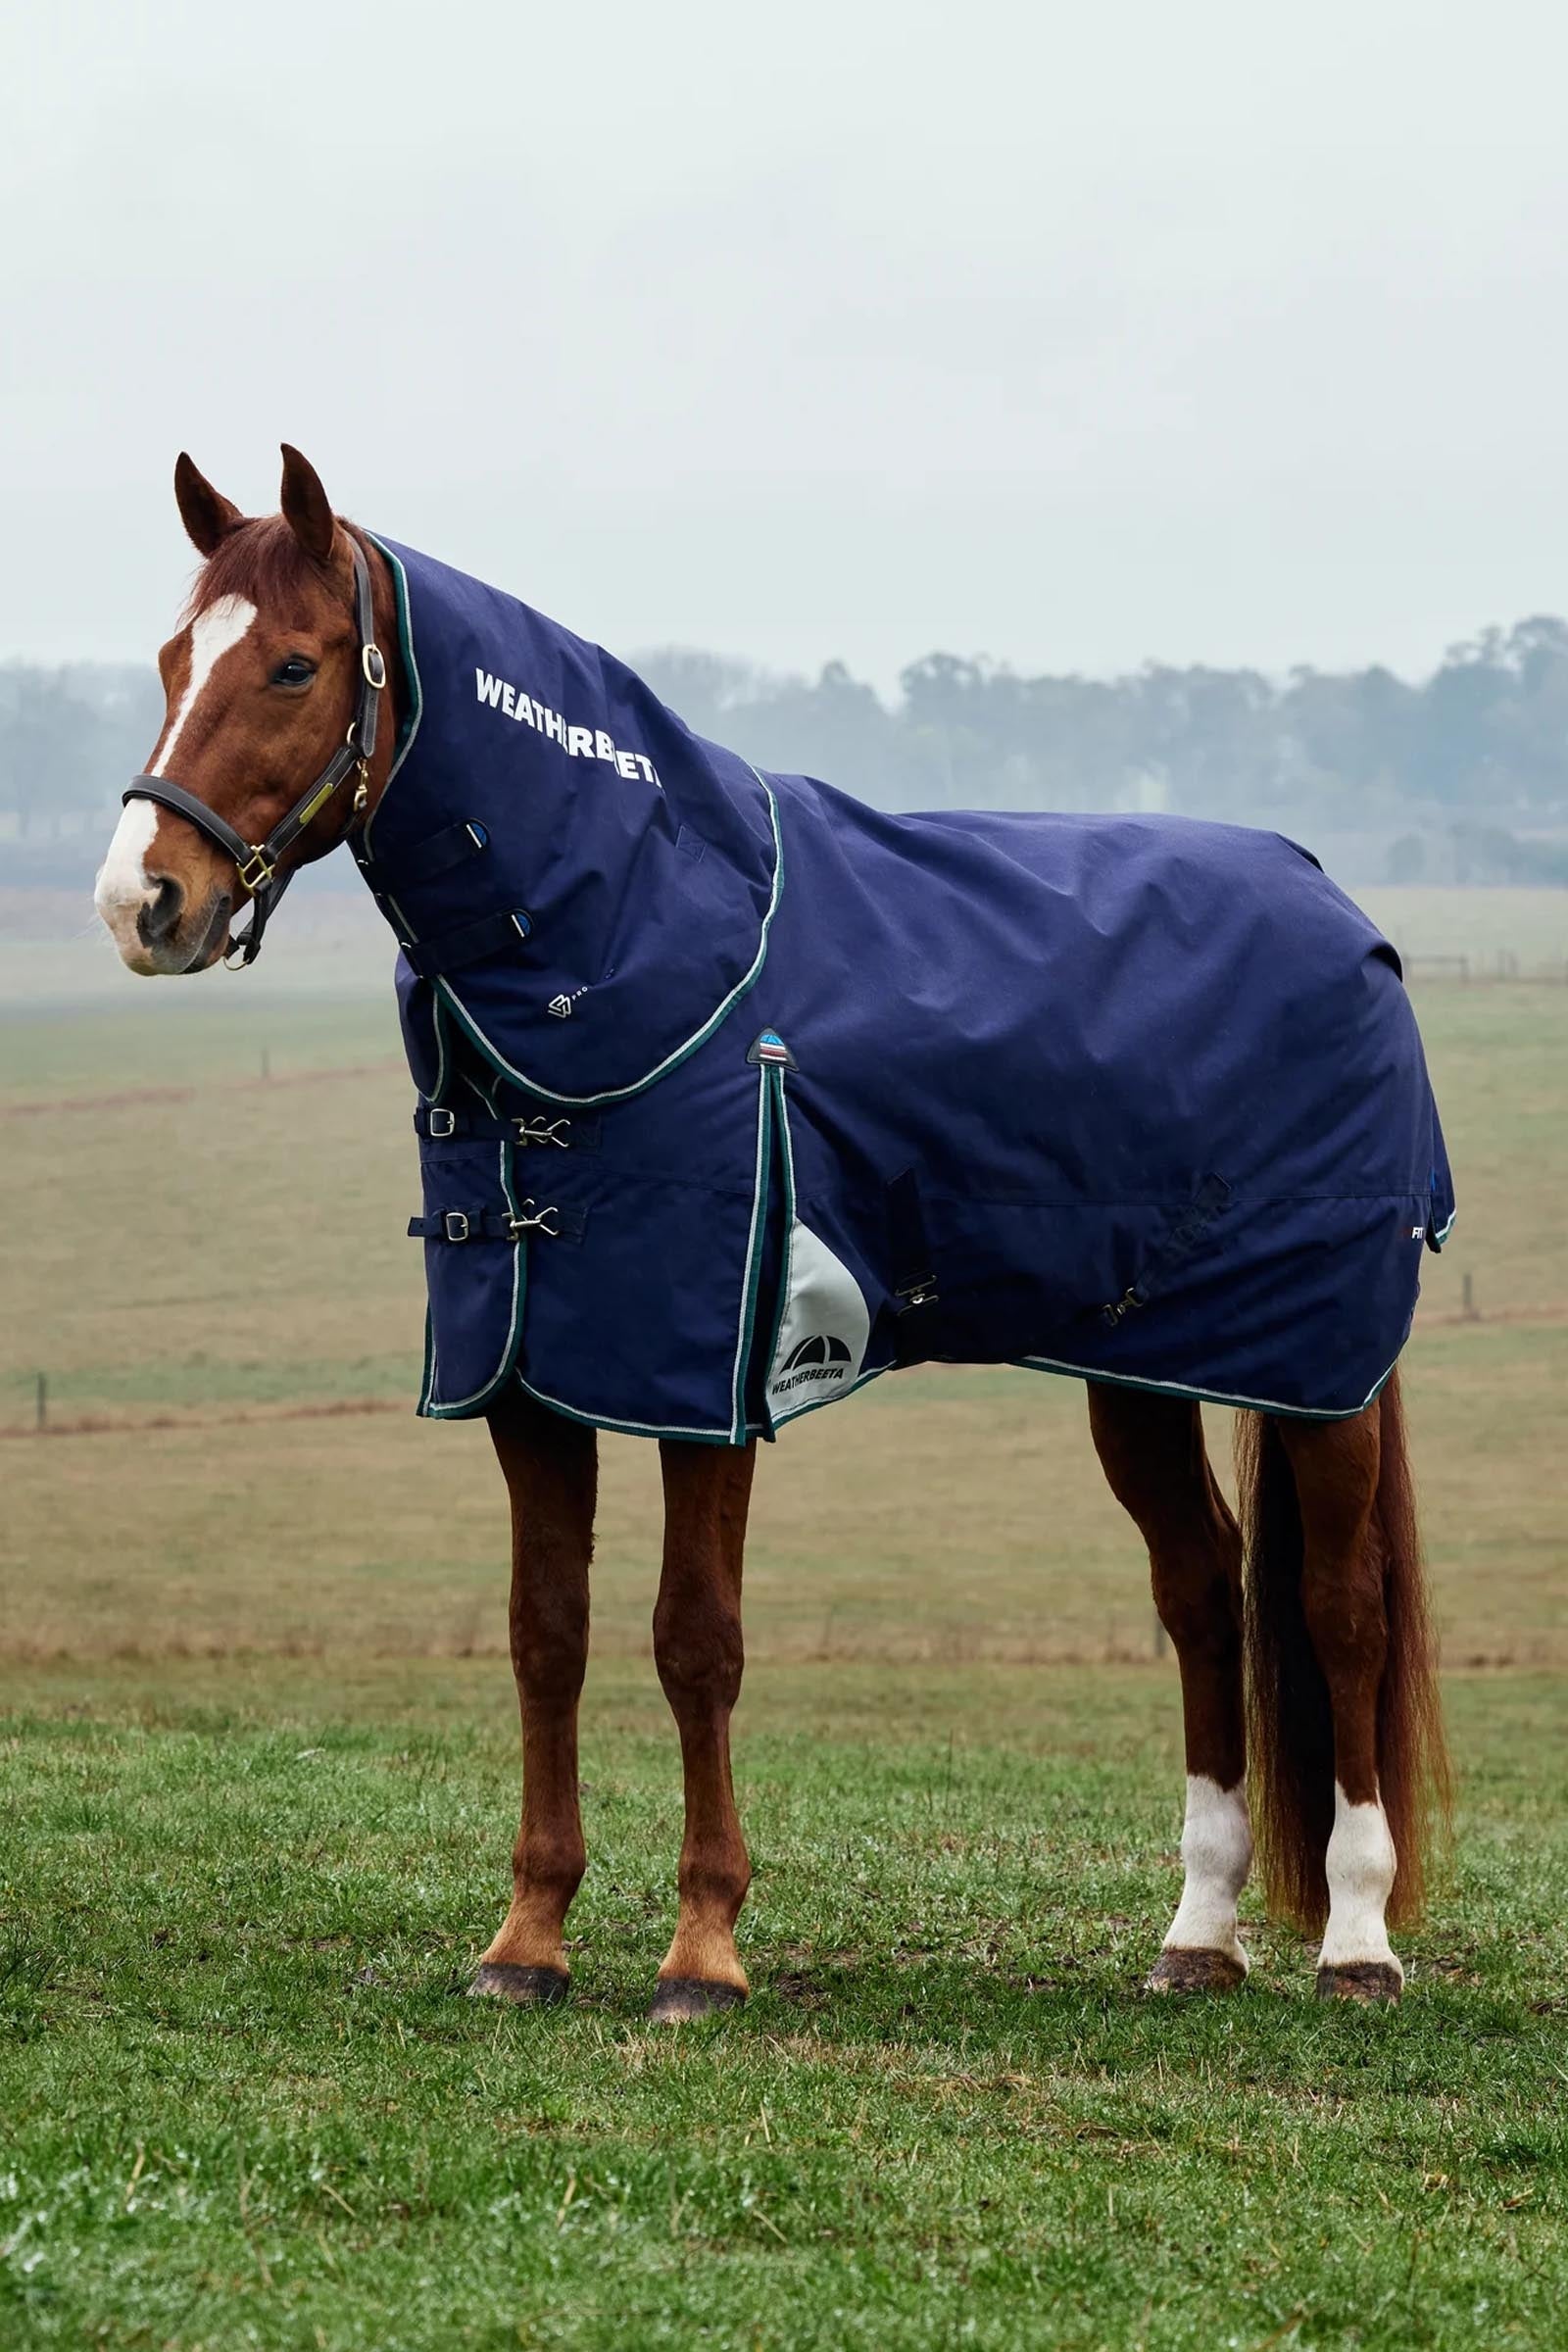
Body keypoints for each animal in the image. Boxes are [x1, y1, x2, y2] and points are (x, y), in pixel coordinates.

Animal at [94, 445, 1452, 2018]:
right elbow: (545, 1636)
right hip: (1143, 1370)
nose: (142, 902)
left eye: (296, 664)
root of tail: (1338, 909)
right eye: (173, 659)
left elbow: (697, 1641)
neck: (645, 938)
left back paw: (1355, 1943)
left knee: (1341, 1606)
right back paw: (1200, 1934)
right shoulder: (531, 1377)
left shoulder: (707, 1377)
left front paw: (702, 1951)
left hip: (1320, 1375)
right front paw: (527, 1940)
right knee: (1203, 1595)